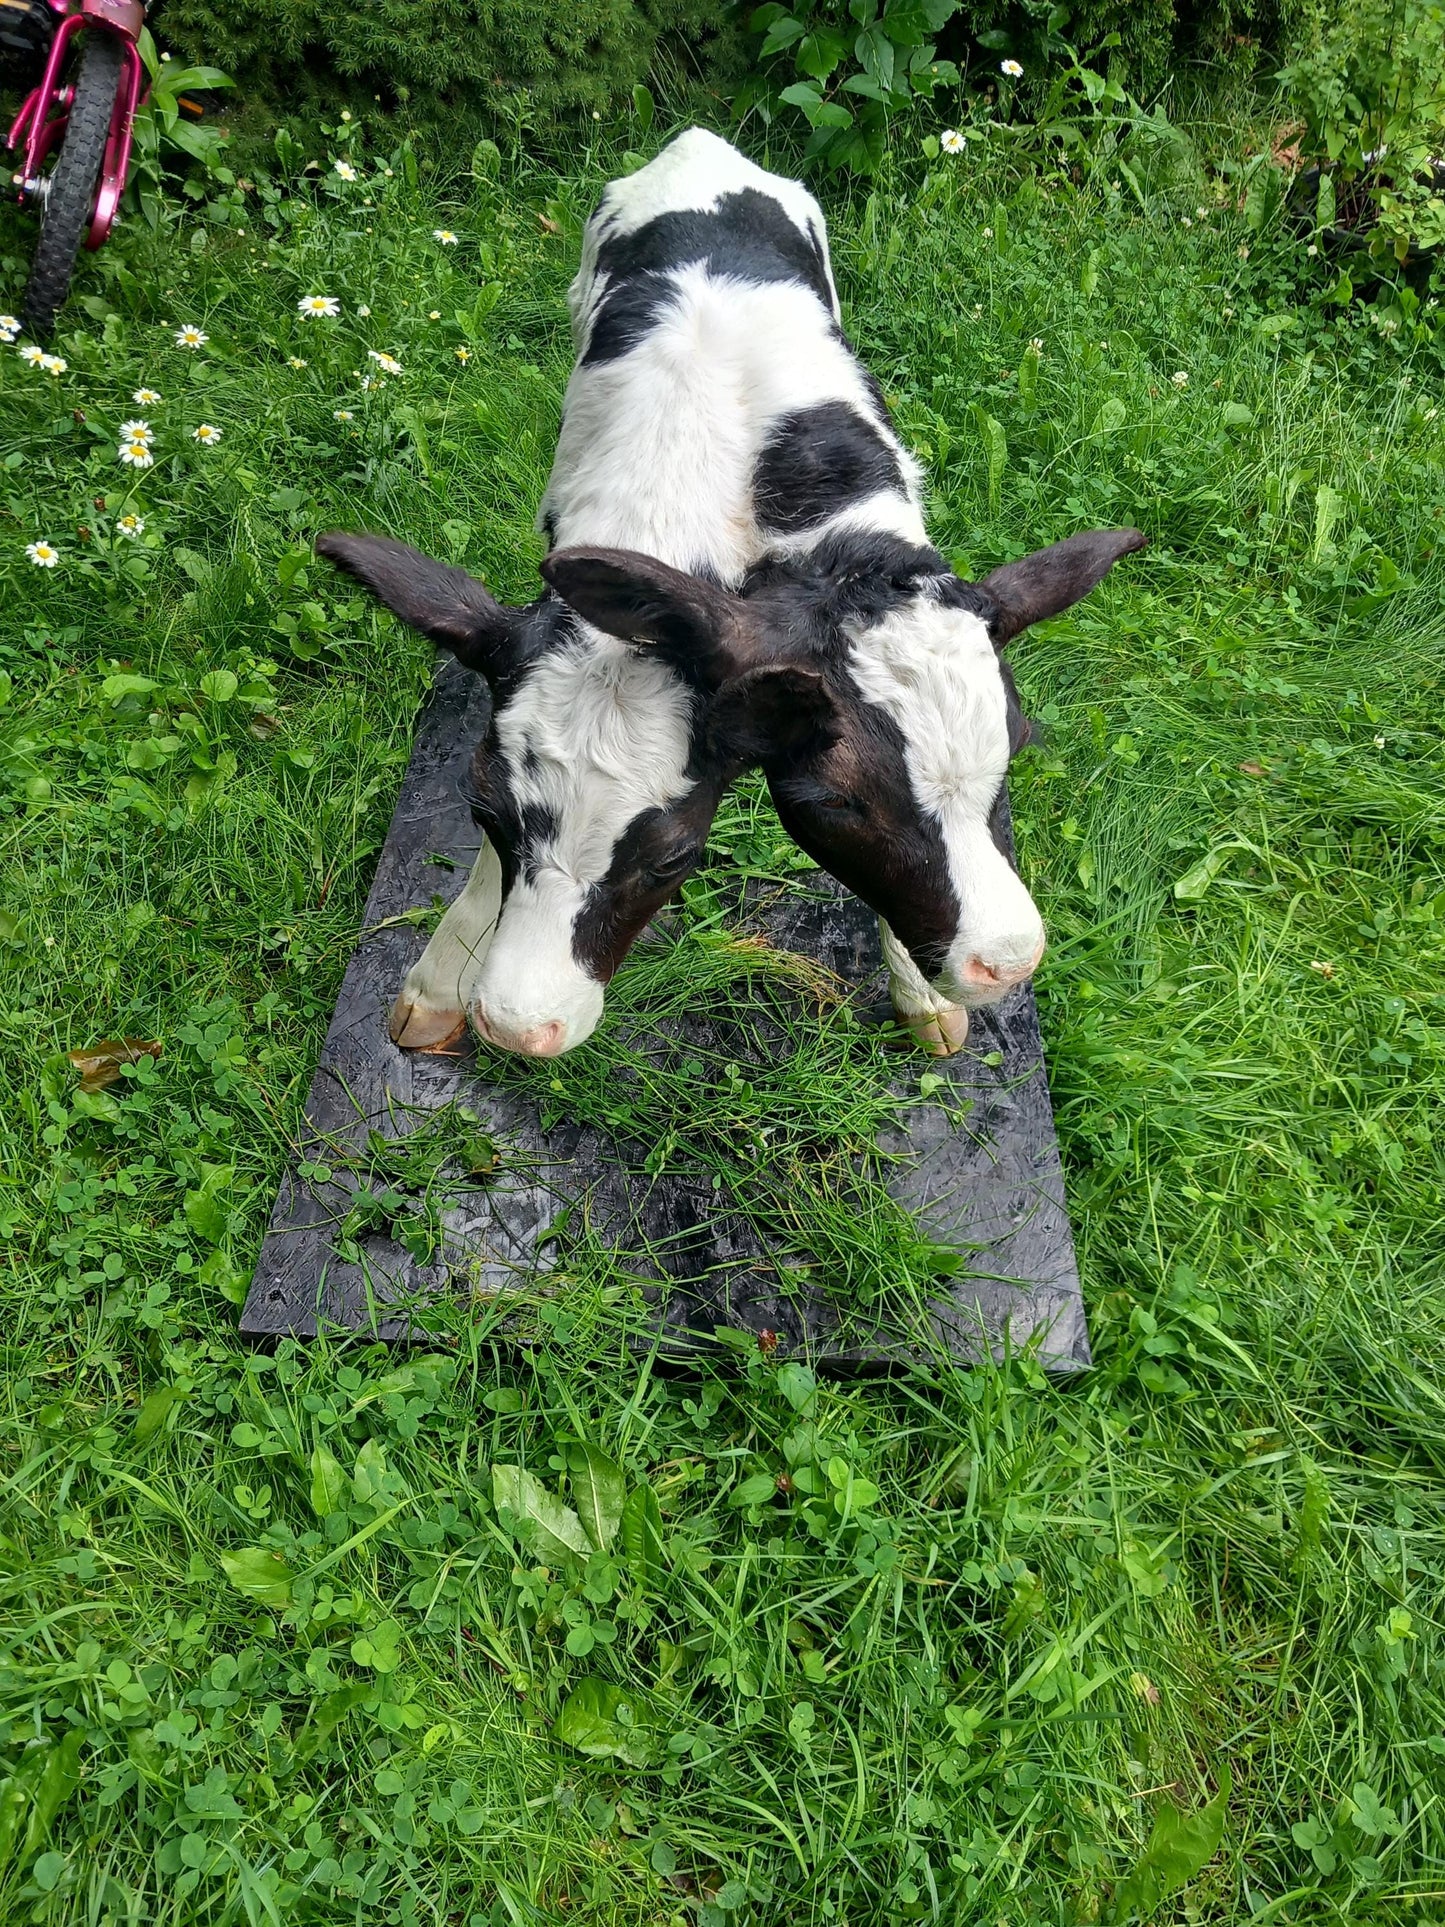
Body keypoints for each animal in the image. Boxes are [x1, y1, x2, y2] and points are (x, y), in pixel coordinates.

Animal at [321, 128, 1144, 1058]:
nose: (1004, 962)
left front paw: (923, 994)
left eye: (1015, 749)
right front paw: (439, 985)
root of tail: (700, 143)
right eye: (837, 802)